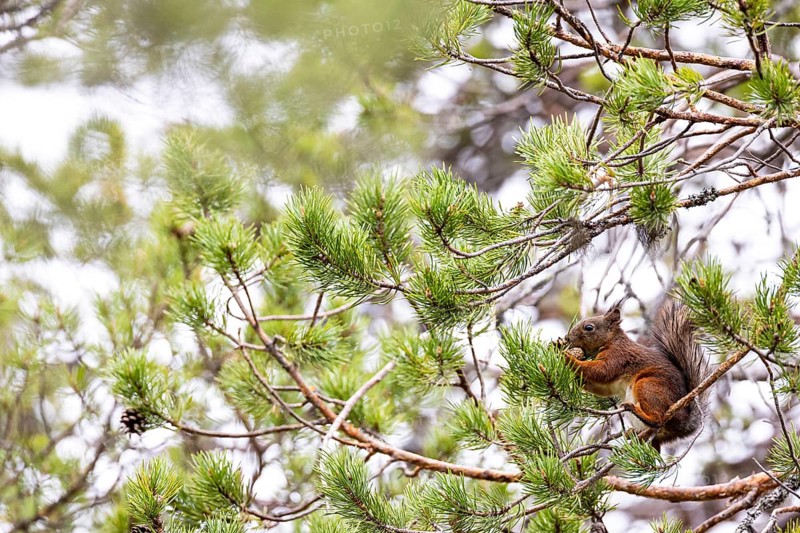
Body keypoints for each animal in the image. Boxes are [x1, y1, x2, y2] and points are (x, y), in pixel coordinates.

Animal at [562, 302, 709, 451]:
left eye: (589, 327)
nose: (567, 338)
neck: (612, 341)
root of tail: (685, 422)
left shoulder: (618, 356)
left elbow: (600, 371)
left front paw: (568, 358)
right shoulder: (611, 385)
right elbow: (601, 388)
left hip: (648, 385)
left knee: (658, 420)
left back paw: (636, 411)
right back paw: (633, 434)